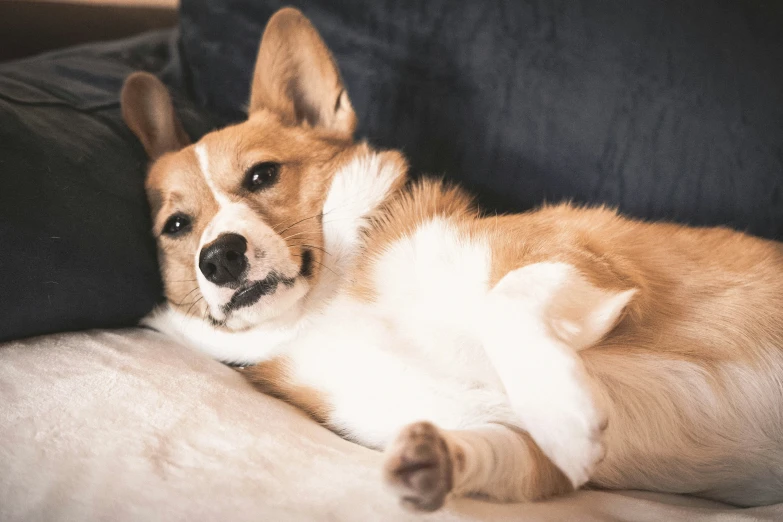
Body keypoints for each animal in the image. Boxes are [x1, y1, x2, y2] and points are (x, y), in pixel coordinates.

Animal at [118, 7, 783, 512]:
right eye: (177, 226)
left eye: (262, 175)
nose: (219, 258)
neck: (326, 303)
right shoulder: (522, 449)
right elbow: (492, 448)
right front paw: (429, 461)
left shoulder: (581, 258)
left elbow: (504, 302)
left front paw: (568, 412)